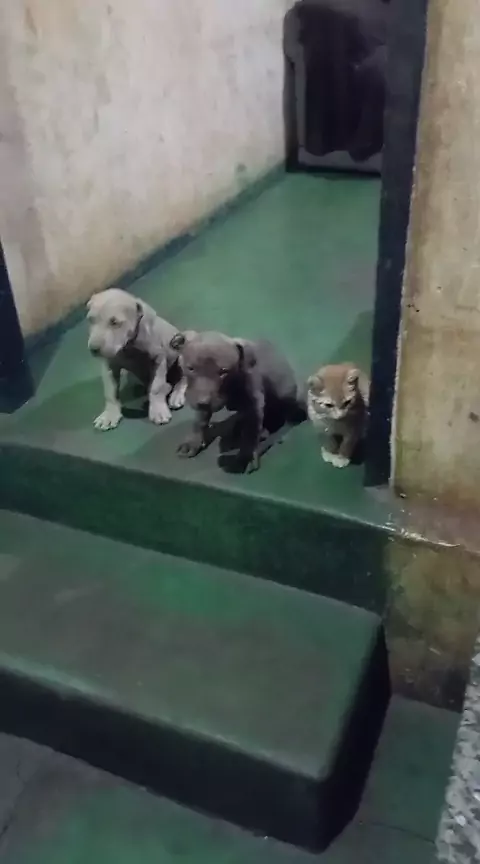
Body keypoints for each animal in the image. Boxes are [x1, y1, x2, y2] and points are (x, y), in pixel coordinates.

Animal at [87, 288, 187, 430]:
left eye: (114, 322)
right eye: (90, 320)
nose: (93, 349)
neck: (128, 346)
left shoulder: (158, 360)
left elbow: (156, 387)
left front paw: (158, 410)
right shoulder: (110, 367)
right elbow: (110, 391)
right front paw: (110, 414)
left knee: (183, 378)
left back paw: (176, 395)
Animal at [170, 330, 304, 472]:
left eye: (223, 372)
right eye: (190, 368)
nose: (203, 402)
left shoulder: (254, 404)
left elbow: (250, 432)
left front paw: (247, 455)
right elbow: (199, 420)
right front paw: (192, 442)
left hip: (285, 394)